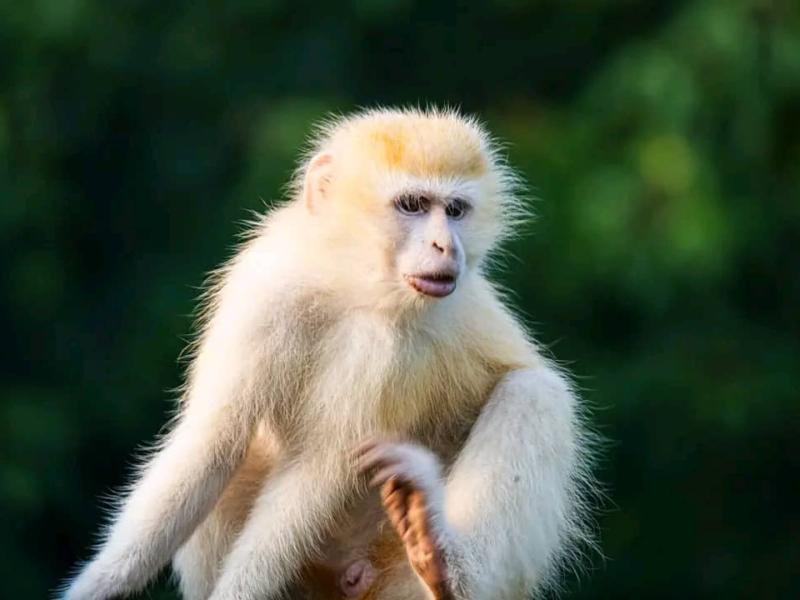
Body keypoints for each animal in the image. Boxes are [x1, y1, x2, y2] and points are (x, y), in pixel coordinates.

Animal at [61, 107, 595, 600]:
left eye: (456, 210)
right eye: (414, 205)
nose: (446, 247)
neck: (351, 285)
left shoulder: (388, 350)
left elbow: (320, 468)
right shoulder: (267, 285)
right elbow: (215, 441)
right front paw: (100, 583)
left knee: (535, 392)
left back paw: (444, 563)